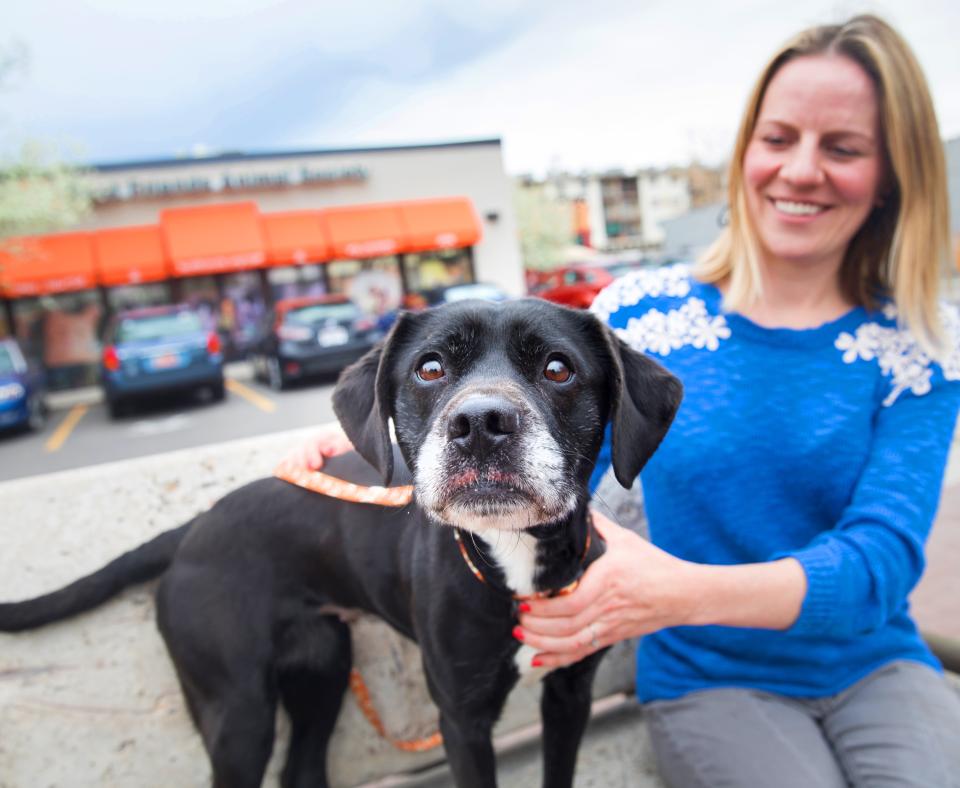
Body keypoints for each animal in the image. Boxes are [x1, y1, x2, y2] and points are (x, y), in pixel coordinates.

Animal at [0, 298, 684, 784]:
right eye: (430, 368)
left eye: (558, 369)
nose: (480, 423)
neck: (510, 561)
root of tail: (193, 526)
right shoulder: (462, 719)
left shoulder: (570, 695)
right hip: (238, 710)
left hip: (322, 667)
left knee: (302, 768)